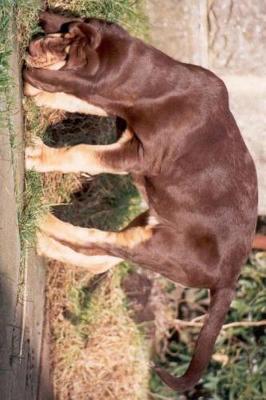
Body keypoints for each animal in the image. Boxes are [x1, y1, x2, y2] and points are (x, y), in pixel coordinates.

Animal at [23, 10, 258, 392]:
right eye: (65, 33)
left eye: (69, 47)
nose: (32, 44)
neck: (163, 88)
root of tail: (230, 279)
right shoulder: (122, 126)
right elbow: (76, 100)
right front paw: (38, 96)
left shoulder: (136, 156)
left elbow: (81, 151)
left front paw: (39, 153)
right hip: (150, 229)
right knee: (97, 258)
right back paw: (45, 241)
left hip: (158, 246)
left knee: (96, 242)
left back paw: (43, 223)